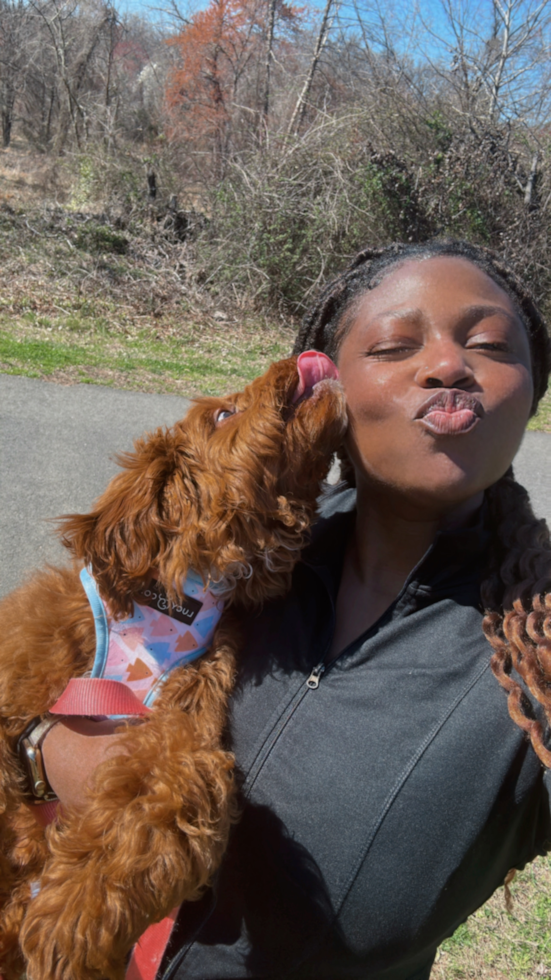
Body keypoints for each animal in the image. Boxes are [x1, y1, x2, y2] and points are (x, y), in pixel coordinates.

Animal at [0, 352, 348, 980]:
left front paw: (79, 910)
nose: (304, 356)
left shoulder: (180, 718)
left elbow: (174, 786)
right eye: (224, 414)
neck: (171, 601)